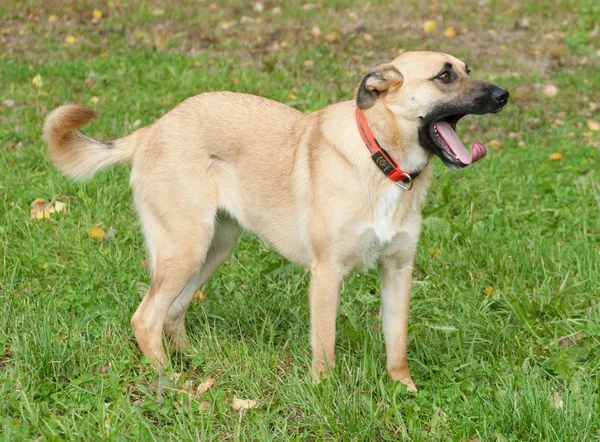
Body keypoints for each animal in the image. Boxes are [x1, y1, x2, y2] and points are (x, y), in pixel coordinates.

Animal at [44, 51, 508, 390]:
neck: (380, 160)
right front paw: (325, 395)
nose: (504, 94)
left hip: (212, 250)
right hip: (186, 248)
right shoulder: (326, 275)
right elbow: (325, 347)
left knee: (169, 314)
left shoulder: (398, 271)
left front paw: (404, 392)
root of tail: (154, 128)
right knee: (145, 319)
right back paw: (169, 378)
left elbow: (397, 347)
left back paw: (194, 361)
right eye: (445, 76)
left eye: (468, 69)